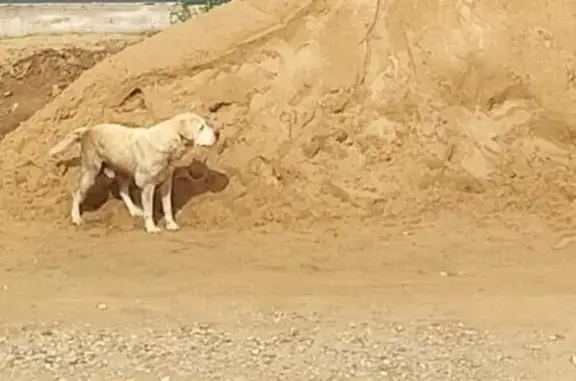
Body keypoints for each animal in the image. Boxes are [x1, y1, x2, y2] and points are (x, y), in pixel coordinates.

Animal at [46, 111, 218, 233]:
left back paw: (135, 210)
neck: (167, 142)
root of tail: (89, 129)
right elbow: (149, 210)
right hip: (91, 173)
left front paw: (171, 224)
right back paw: (76, 218)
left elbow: (168, 207)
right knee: (77, 194)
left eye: (206, 124)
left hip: (123, 172)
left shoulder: (166, 183)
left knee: (123, 191)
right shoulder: (148, 185)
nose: (218, 133)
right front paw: (151, 227)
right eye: (201, 127)